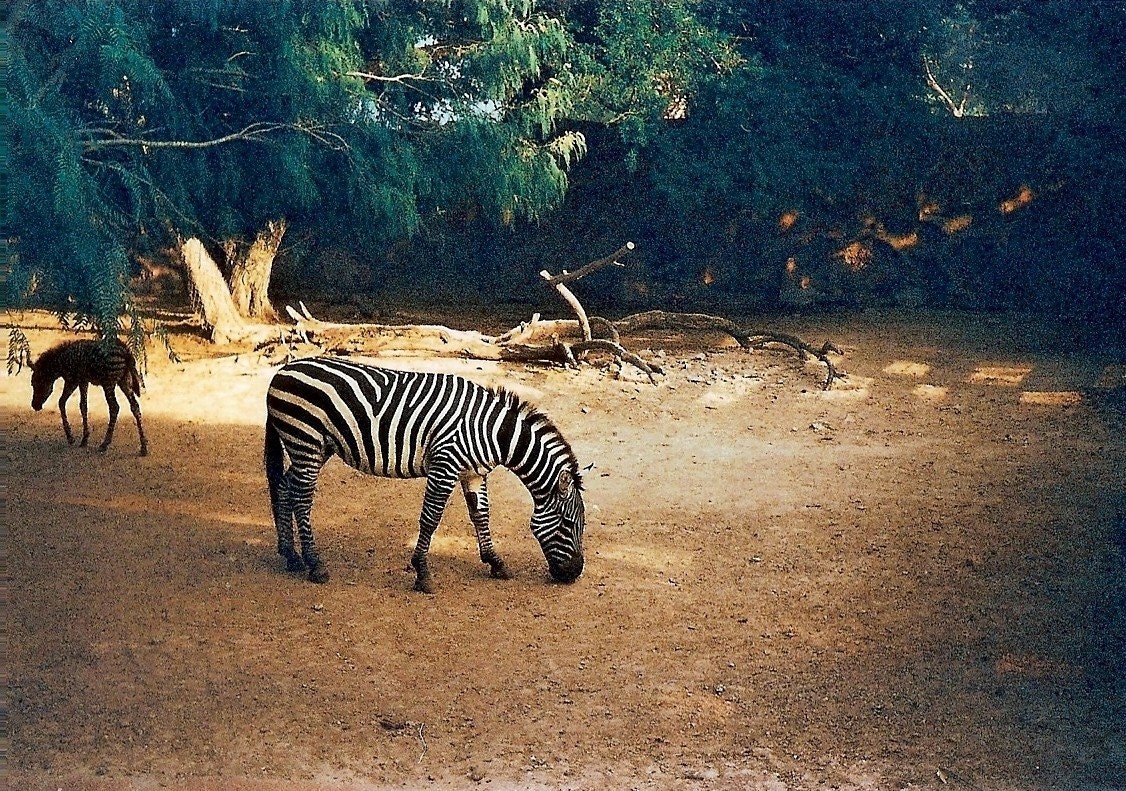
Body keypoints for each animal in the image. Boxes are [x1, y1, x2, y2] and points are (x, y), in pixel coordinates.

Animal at [264, 357, 586, 592]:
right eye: (569, 524)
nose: (575, 574)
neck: (493, 432)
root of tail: (281, 371)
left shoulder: (473, 473)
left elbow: (481, 515)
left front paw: (495, 562)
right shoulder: (445, 465)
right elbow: (431, 518)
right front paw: (422, 572)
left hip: (315, 446)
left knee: (285, 486)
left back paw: (291, 555)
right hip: (305, 439)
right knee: (301, 498)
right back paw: (314, 564)